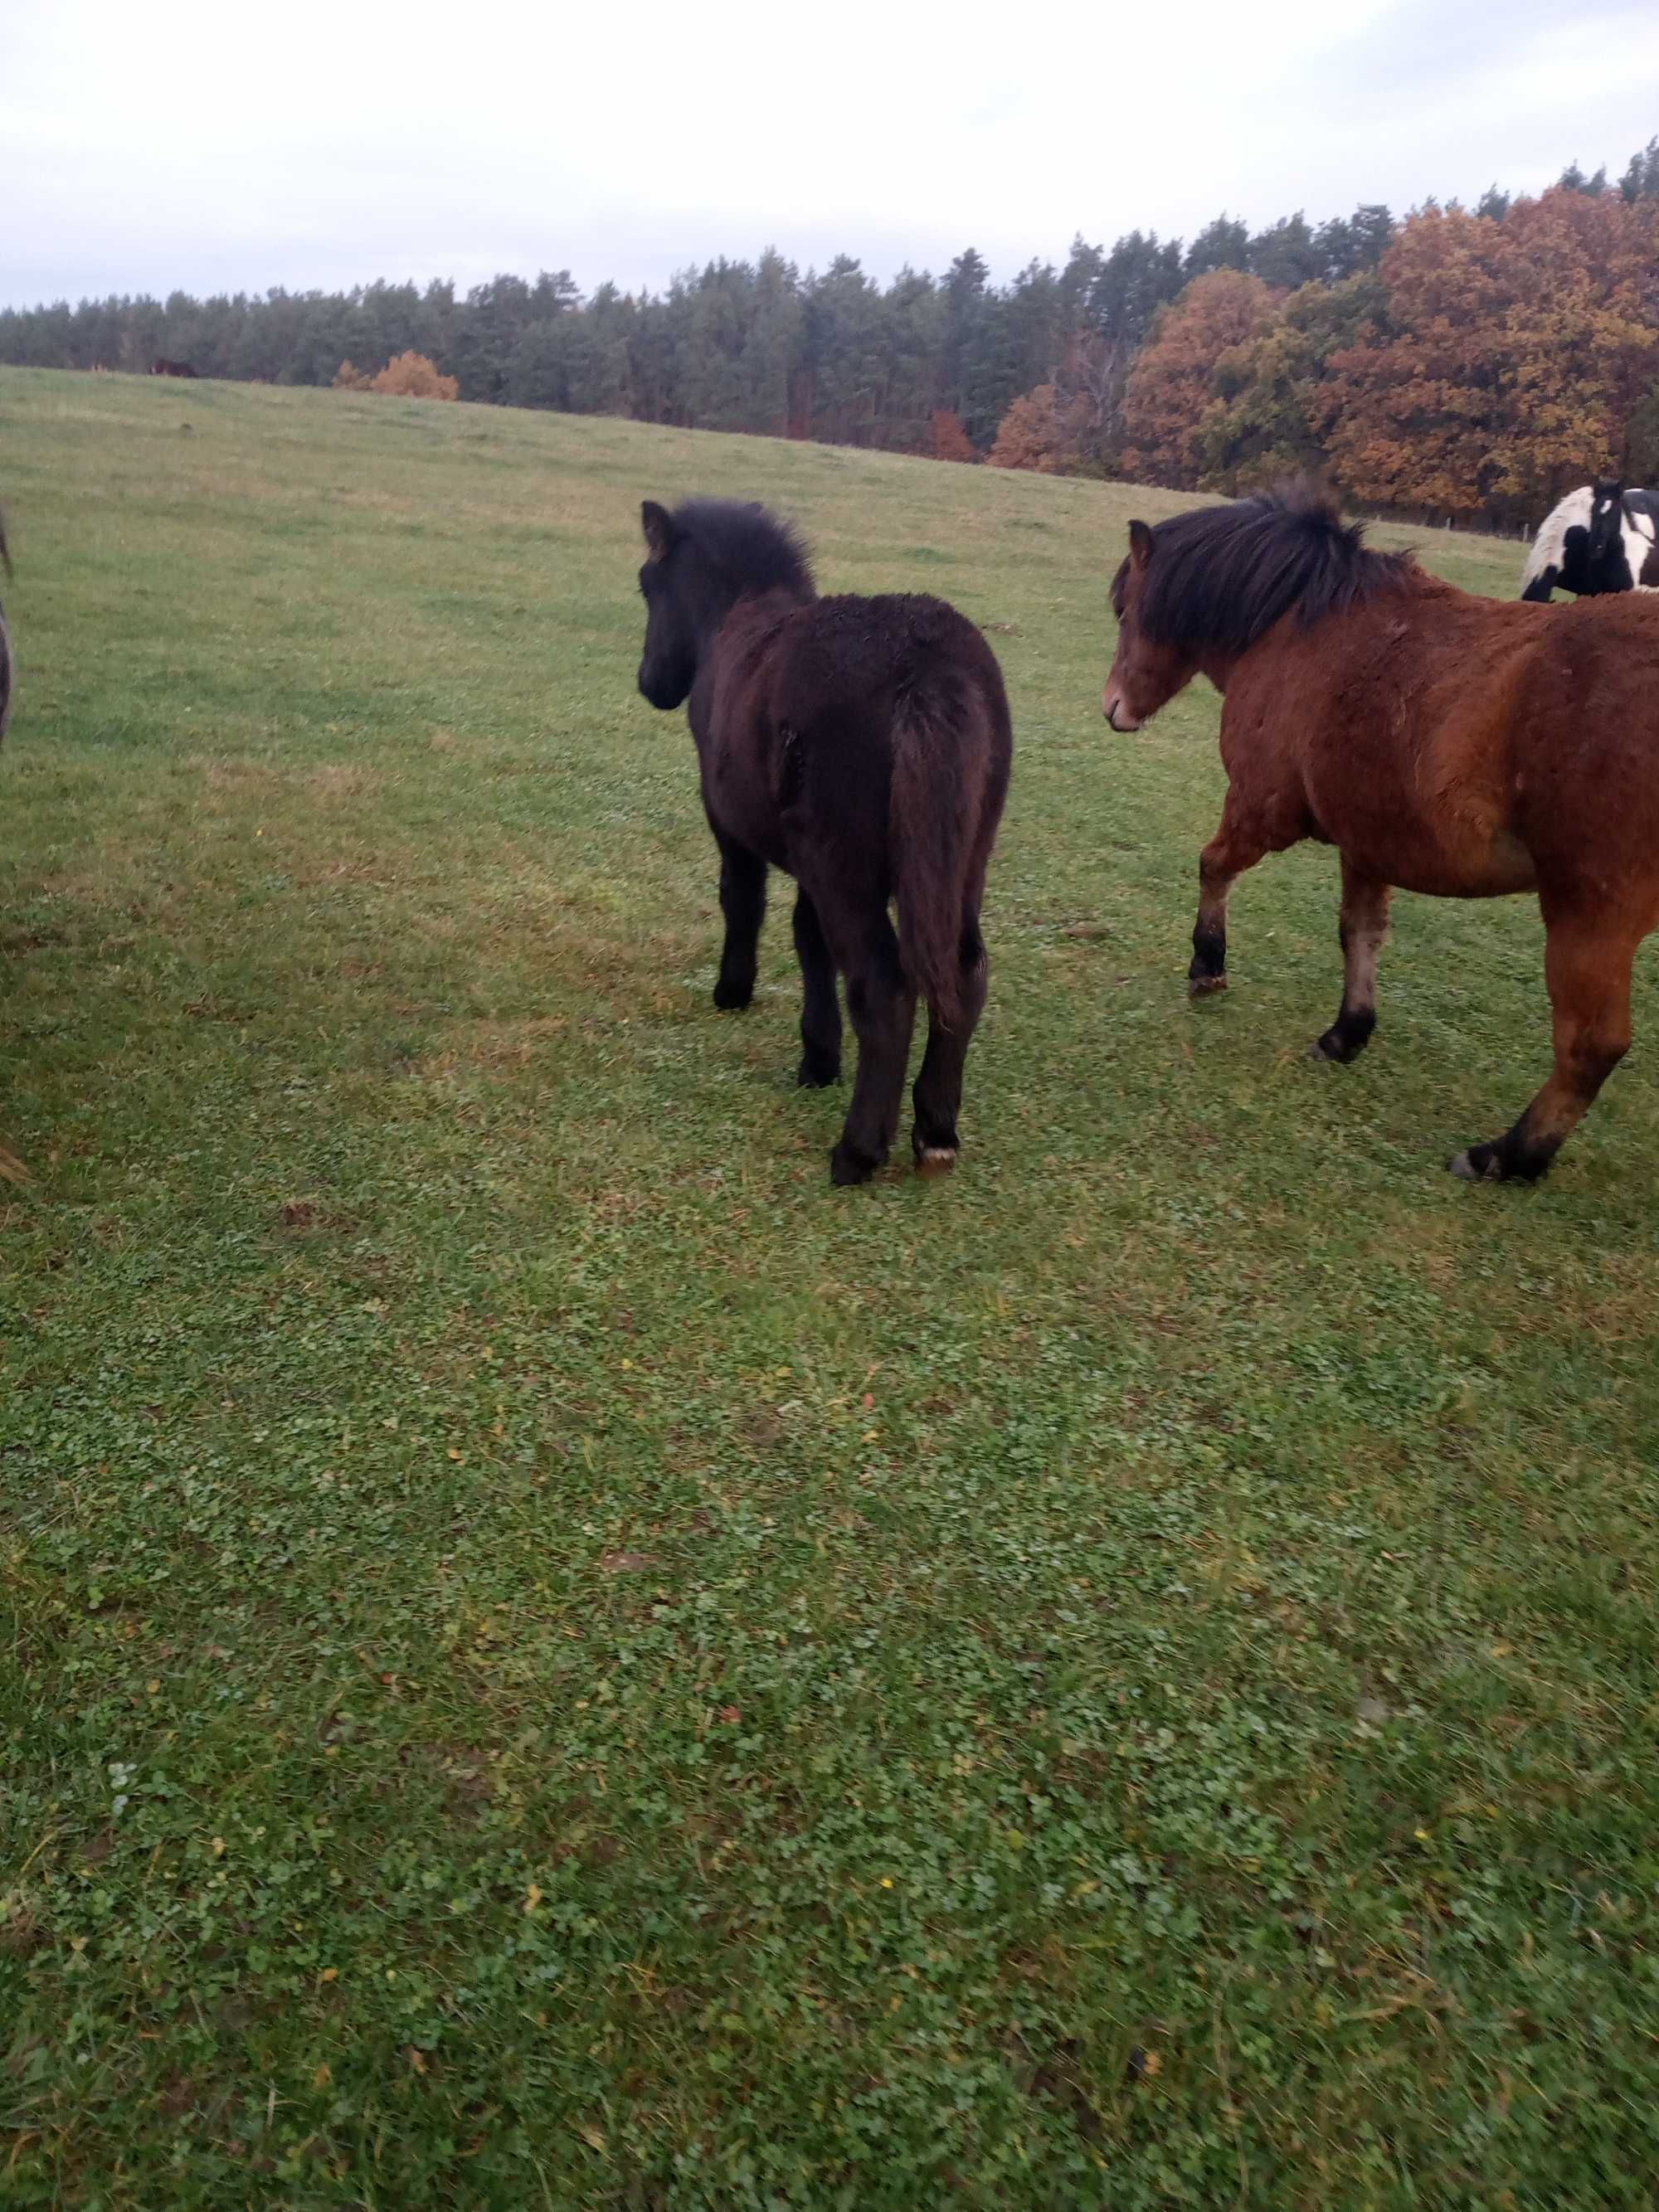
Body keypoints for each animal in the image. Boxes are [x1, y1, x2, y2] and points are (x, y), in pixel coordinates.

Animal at [637, 499, 1013, 1185]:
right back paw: (936, 1129)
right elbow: (809, 939)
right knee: (966, 971)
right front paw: (819, 1056)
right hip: (962, 861)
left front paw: (734, 992)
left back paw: (858, 1150)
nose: (649, 683)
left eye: (647, 586)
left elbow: (743, 902)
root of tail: (930, 670)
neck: (737, 613)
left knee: (884, 985)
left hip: (848, 868)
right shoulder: (810, 863)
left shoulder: (734, 825)